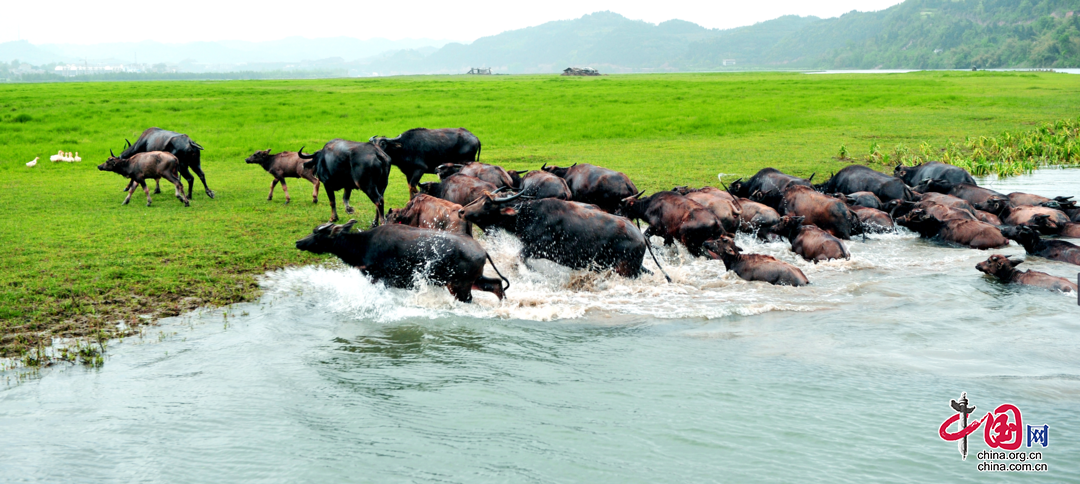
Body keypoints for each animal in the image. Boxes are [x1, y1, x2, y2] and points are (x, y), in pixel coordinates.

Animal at [295, 220, 509, 302]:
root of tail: (482, 250)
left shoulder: (384, 280)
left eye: (317, 234)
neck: (364, 244)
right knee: (497, 284)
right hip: (475, 280)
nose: (298, 242)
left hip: (459, 285)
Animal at [457, 191, 660, 278]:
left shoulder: (536, 249)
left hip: (625, 269)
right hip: (633, 267)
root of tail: (641, 237)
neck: (529, 216)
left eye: (487, 204)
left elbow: (519, 259)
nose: (461, 211)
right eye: (479, 198)